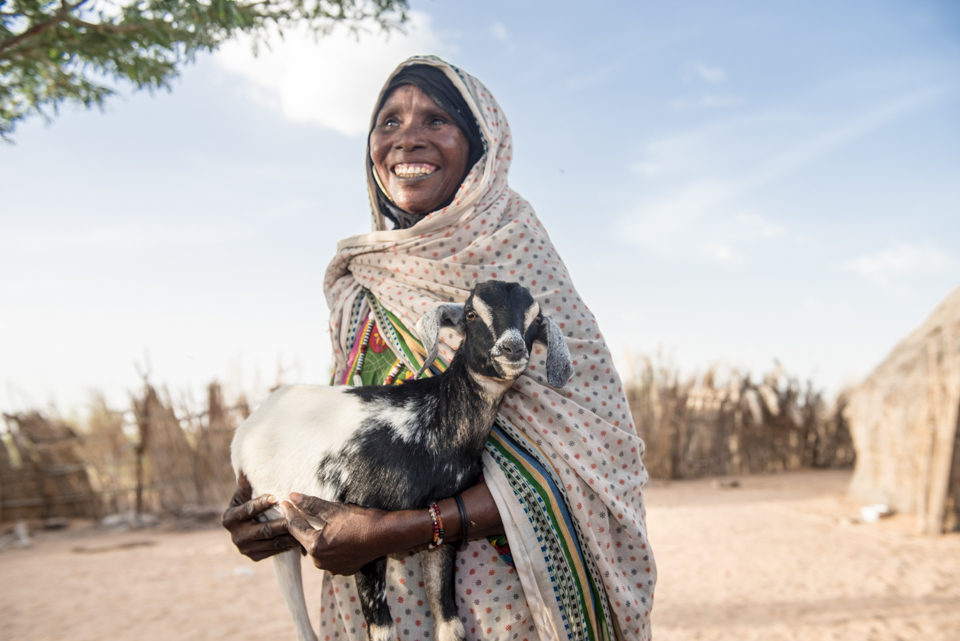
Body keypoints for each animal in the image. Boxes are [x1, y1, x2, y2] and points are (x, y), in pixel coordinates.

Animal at [229, 282, 572, 640]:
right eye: (471, 313)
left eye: (536, 320)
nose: (512, 348)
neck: (431, 421)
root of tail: (252, 420)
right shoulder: (359, 540)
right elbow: (383, 631)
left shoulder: (442, 527)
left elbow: (450, 625)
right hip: (273, 522)